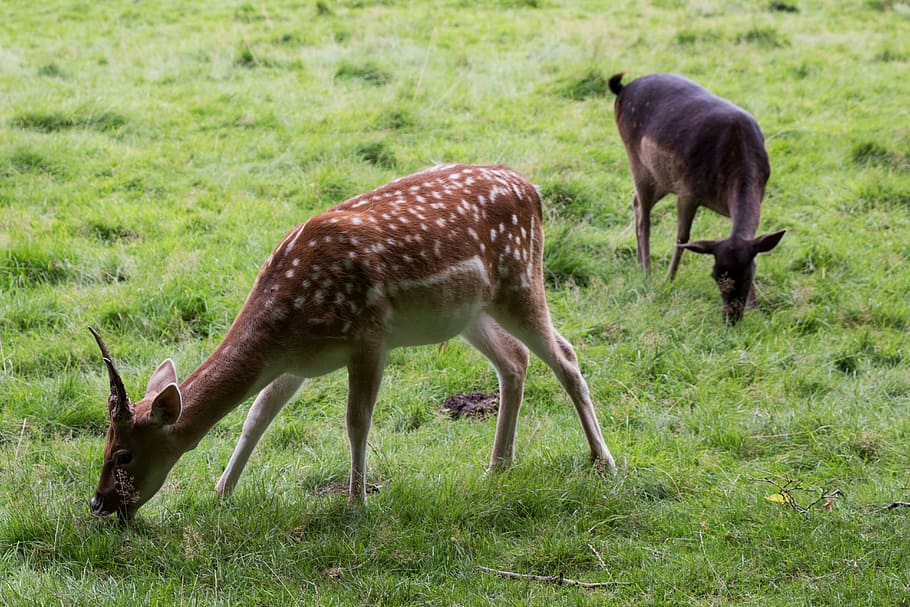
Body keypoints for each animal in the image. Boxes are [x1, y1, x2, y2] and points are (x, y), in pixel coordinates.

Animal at [88, 163, 617, 521]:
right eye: (105, 440)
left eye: (123, 454)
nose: (99, 502)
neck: (286, 326)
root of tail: (533, 190)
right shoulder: (296, 362)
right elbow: (258, 415)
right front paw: (221, 491)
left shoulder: (368, 338)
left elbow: (356, 420)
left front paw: (357, 503)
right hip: (467, 312)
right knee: (515, 359)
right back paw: (498, 466)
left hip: (520, 278)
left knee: (565, 354)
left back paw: (603, 463)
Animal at [608, 72, 786, 324]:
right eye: (714, 275)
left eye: (749, 272)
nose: (731, 317)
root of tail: (622, 88)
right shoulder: (687, 190)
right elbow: (682, 237)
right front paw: (669, 281)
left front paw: (755, 306)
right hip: (637, 159)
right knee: (644, 215)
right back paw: (646, 270)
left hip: (661, 177)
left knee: (635, 203)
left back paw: (639, 262)